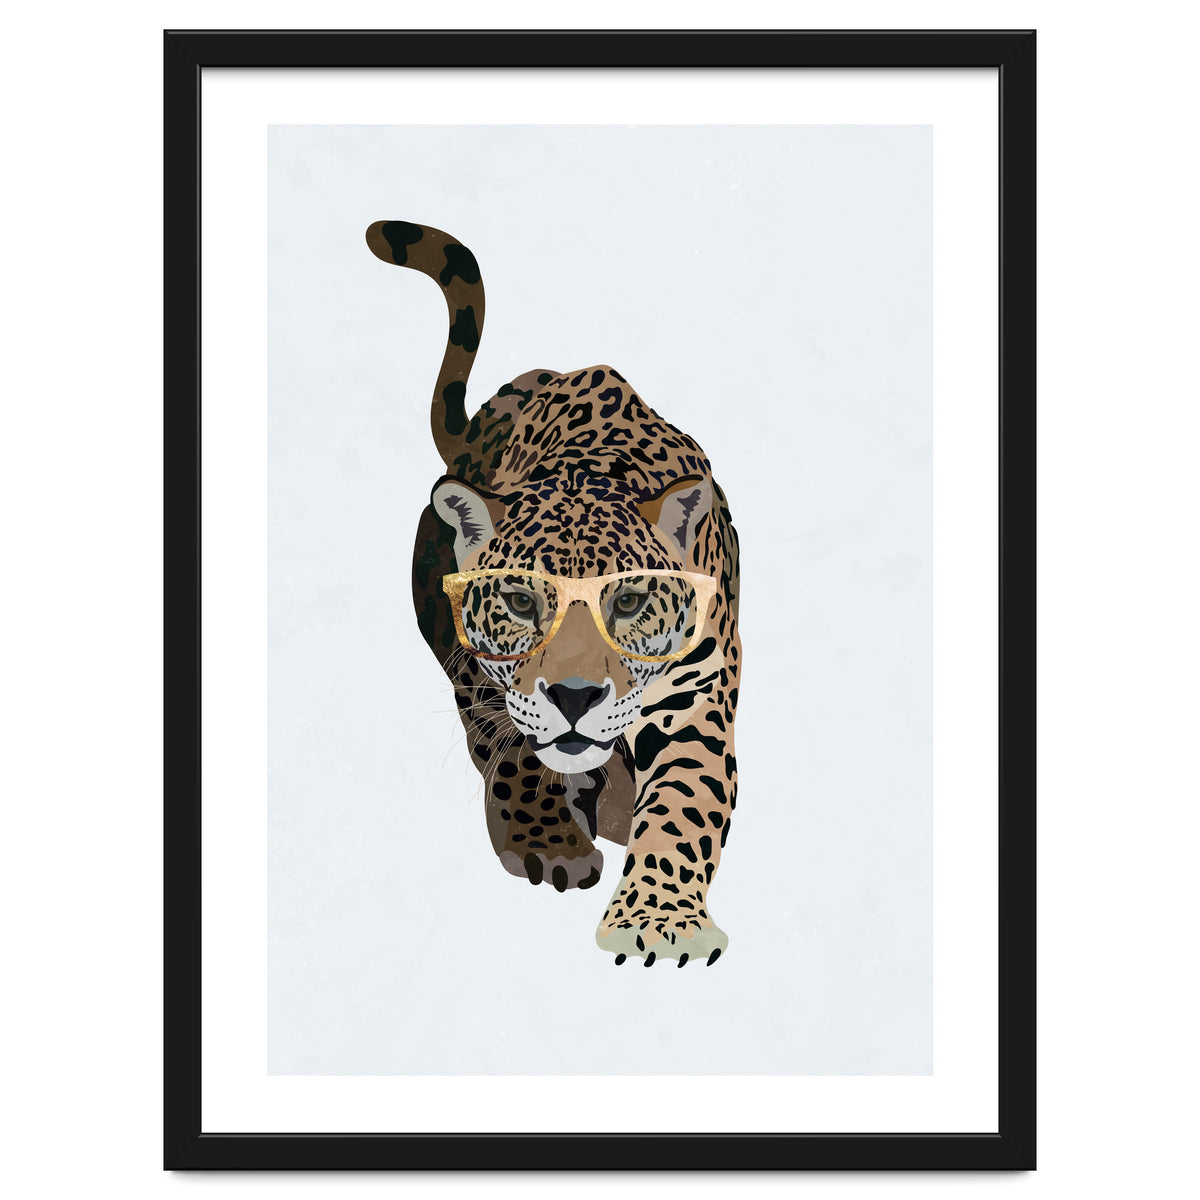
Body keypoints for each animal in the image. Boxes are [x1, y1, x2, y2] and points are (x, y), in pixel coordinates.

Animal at [366, 220, 741, 966]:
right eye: (519, 602)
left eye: (626, 602)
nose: (574, 697)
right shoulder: (483, 672)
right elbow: (514, 749)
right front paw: (549, 843)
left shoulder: (696, 694)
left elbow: (684, 803)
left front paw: (658, 921)